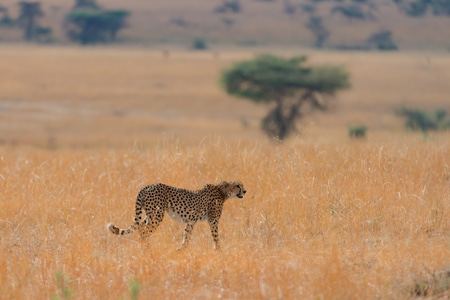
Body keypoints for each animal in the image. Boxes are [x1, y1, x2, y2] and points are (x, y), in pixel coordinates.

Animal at [107, 182, 246, 250]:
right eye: (237, 185)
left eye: (242, 185)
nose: (245, 191)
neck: (223, 192)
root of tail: (147, 186)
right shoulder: (213, 220)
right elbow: (216, 236)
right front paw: (218, 250)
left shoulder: (190, 221)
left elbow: (186, 236)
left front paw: (181, 250)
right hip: (157, 214)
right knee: (145, 231)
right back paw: (147, 249)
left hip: (151, 214)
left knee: (141, 226)